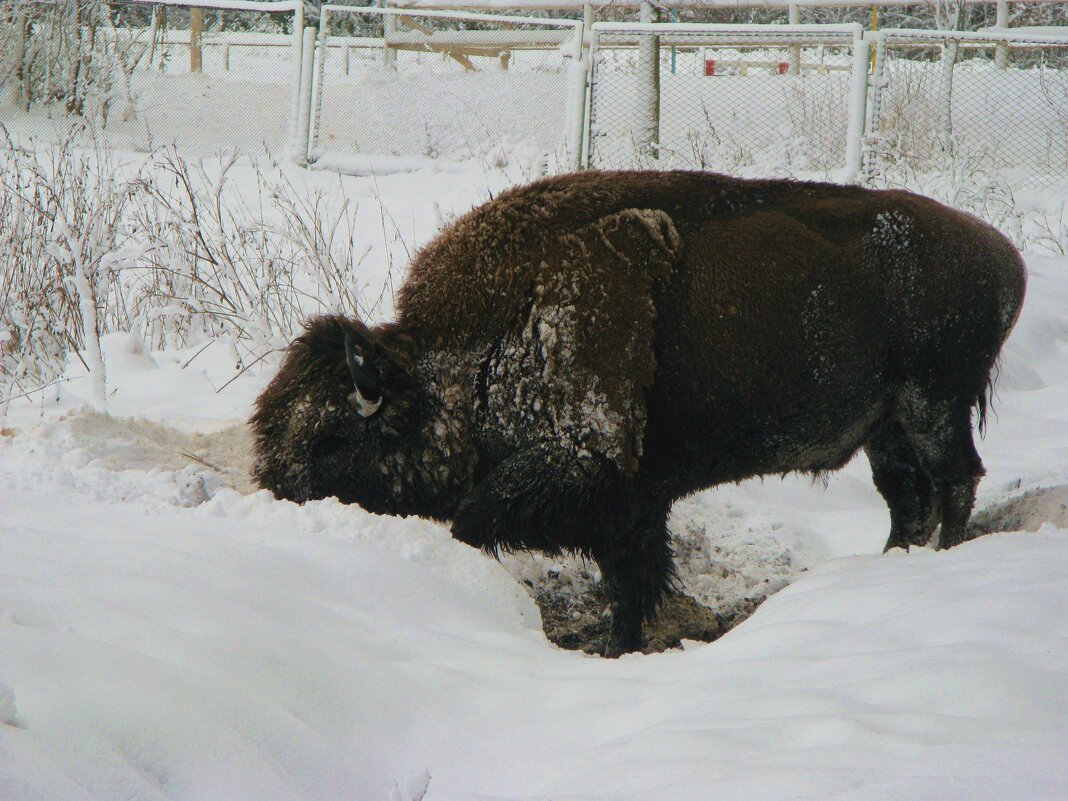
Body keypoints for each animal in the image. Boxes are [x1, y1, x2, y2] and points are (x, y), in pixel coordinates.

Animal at [249, 169, 1025, 657]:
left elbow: (483, 523)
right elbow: (631, 579)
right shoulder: (633, 502)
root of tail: (1005, 258)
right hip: (885, 428)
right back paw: (892, 564)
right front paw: (622, 641)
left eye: (330, 437)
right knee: (908, 501)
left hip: (933, 406)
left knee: (955, 482)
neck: (474, 349)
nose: (278, 491)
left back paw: (940, 561)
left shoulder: (587, 463)